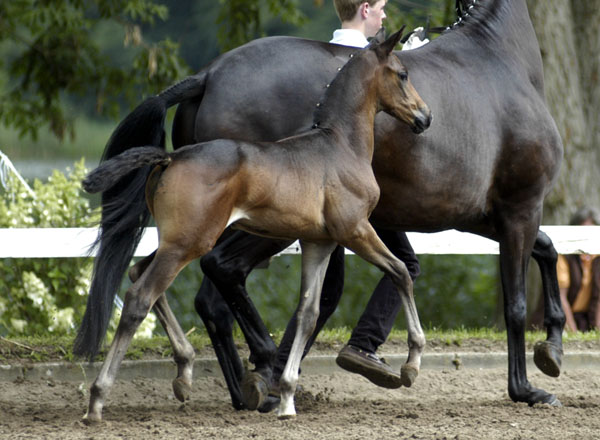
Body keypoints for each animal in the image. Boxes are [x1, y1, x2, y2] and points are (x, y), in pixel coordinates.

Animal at [81, 29, 432, 422]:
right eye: (403, 74)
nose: (425, 117)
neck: (340, 145)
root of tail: (171, 156)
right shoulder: (355, 229)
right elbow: (400, 272)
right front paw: (412, 364)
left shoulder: (319, 243)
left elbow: (308, 312)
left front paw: (288, 397)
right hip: (191, 242)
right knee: (140, 297)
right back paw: (98, 400)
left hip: (182, 237)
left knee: (139, 272)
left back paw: (185, 372)